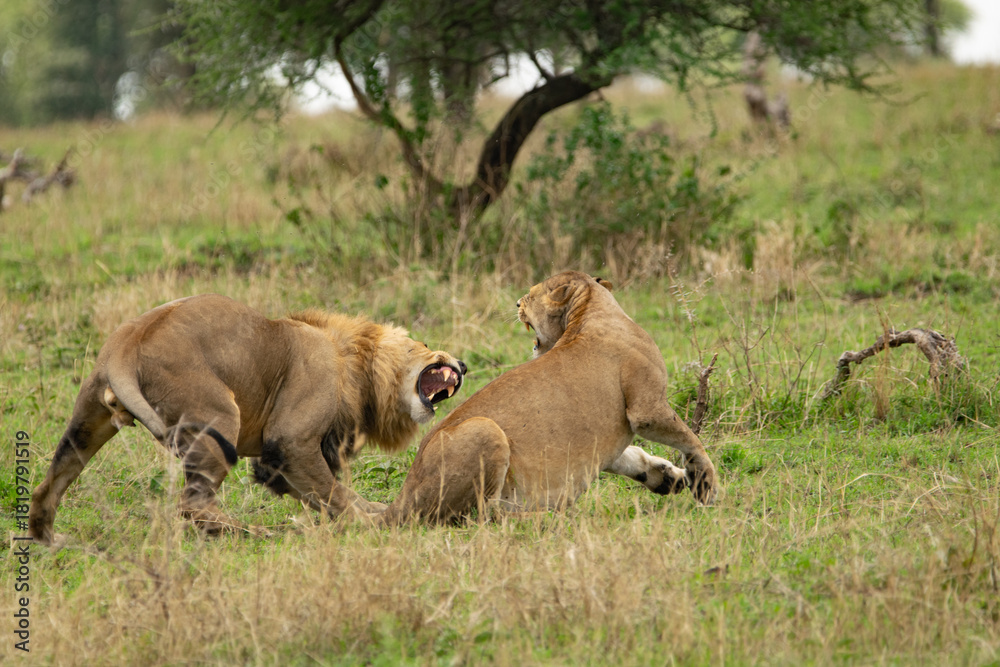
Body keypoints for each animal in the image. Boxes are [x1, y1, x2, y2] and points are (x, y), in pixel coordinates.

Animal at [29, 294, 466, 544]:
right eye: (425, 344)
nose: (462, 364)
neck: (351, 358)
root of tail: (126, 341)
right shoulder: (290, 442)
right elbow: (334, 493)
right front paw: (371, 523)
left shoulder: (282, 463)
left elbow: (332, 493)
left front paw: (375, 509)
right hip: (220, 417)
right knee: (191, 504)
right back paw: (253, 532)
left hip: (86, 424)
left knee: (47, 487)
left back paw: (49, 539)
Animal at [377, 271, 718, 524]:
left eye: (529, 295)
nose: (516, 302)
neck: (590, 309)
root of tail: (400, 500)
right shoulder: (647, 410)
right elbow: (691, 440)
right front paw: (706, 484)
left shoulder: (607, 437)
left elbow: (630, 456)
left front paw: (669, 478)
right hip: (484, 430)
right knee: (481, 516)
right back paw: (547, 516)